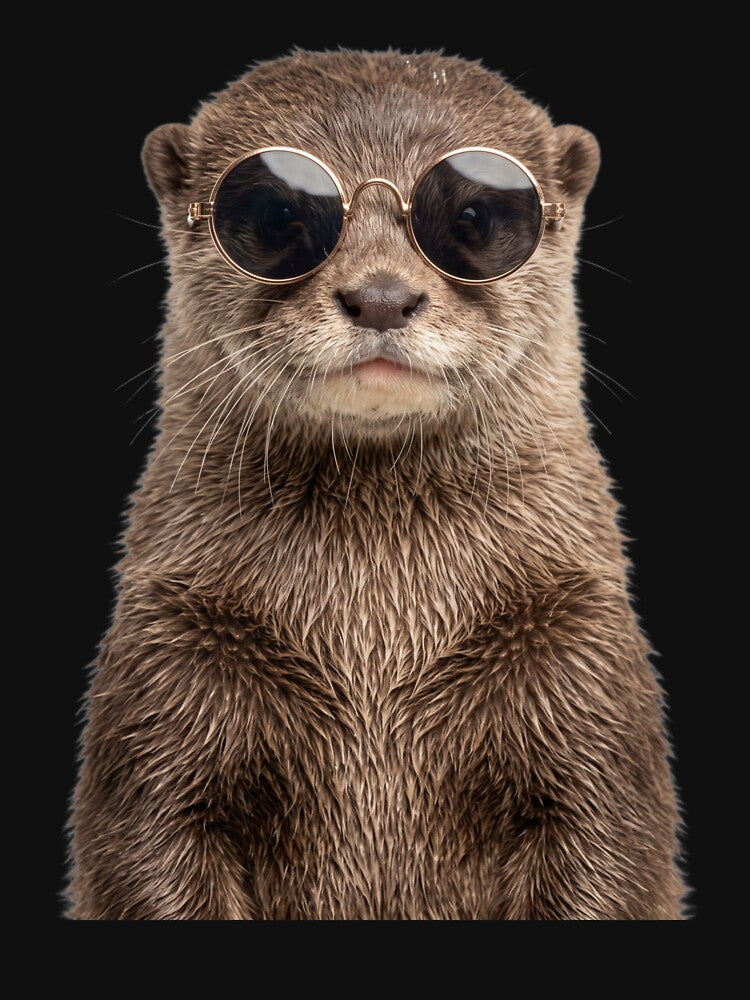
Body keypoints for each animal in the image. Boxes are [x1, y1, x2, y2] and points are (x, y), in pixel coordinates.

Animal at [68, 50, 685, 919]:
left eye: (472, 218)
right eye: (276, 216)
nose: (384, 296)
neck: (377, 650)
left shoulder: (584, 666)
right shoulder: (166, 666)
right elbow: (146, 854)